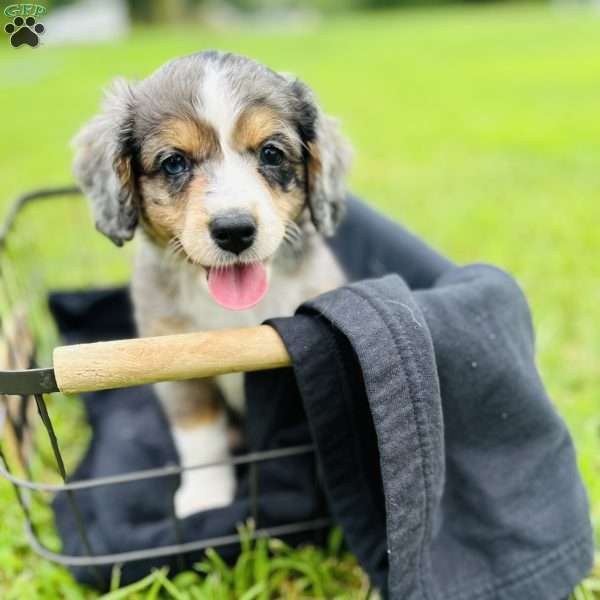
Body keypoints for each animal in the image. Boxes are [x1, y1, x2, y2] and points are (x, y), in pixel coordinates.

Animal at [72, 51, 352, 516]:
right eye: (174, 162)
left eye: (271, 153)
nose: (234, 230)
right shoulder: (175, 367)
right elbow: (200, 439)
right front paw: (205, 498)